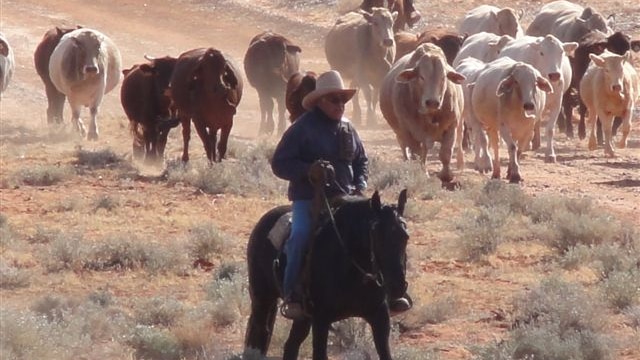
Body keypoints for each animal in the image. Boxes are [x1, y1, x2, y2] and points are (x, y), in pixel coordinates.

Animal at [242, 190, 412, 358]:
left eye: (405, 236)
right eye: (376, 234)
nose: (397, 286)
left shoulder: (380, 316)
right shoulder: (321, 320)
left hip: (302, 317)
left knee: (291, 345)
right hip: (262, 300)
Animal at [380, 43, 464, 184]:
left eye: (443, 77)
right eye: (421, 77)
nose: (432, 102)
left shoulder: (451, 126)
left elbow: (445, 153)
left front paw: (446, 175)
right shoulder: (408, 131)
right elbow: (418, 152)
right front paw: (422, 172)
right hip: (399, 132)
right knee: (405, 147)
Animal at [498, 34, 576, 162]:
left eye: (561, 52)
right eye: (541, 53)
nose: (554, 75)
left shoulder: (557, 103)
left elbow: (550, 129)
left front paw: (550, 154)